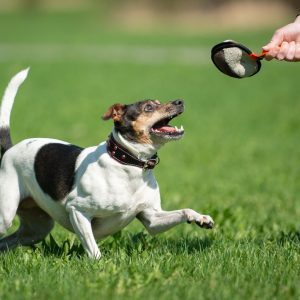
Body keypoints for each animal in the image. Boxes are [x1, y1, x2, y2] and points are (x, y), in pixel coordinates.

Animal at [0, 69, 216, 258]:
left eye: (157, 102)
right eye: (148, 107)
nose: (180, 101)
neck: (129, 164)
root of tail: (10, 149)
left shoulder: (152, 218)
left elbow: (183, 211)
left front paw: (200, 218)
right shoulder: (78, 211)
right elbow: (93, 250)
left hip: (36, 228)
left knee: (7, 241)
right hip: (6, 215)